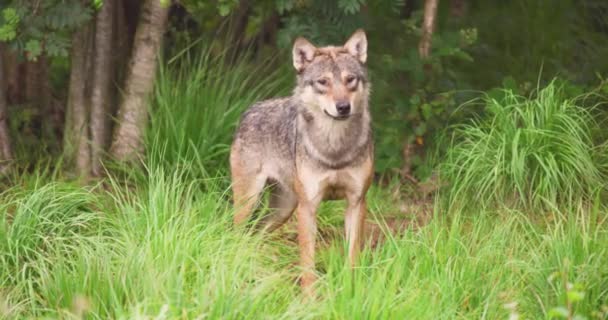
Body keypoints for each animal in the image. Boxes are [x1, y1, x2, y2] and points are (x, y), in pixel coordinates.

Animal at [228, 30, 370, 296]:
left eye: (350, 80)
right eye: (323, 82)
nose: (343, 107)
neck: (334, 149)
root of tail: (250, 109)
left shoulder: (356, 203)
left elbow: (352, 257)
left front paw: (352, 292)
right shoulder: (308, 208)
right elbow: (307, 263)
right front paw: (309, 299)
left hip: (282, 211)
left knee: (256, 233)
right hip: (250, 201)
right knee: (237, 232)